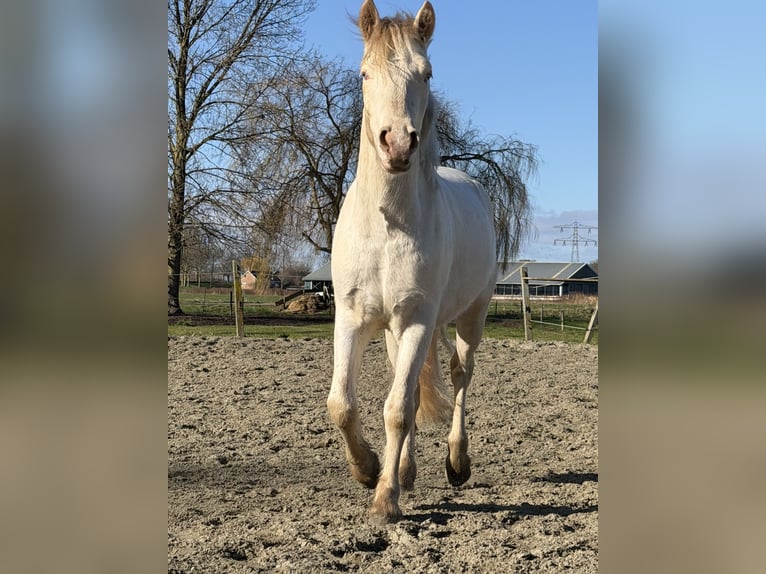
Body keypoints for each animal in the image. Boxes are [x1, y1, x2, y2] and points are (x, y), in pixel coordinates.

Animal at [327, 0, 497, 525]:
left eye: (427, 73)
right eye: (364, 73)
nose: (398, 144)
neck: (388, 227)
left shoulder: (419, 320)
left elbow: (398, 408)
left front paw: (384, 499)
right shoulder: (353, 318)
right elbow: (342, 404)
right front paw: (369, 470)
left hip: (471, 316)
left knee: (461, 376)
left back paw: (456, 462)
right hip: (392, 331)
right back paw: (404, 469)